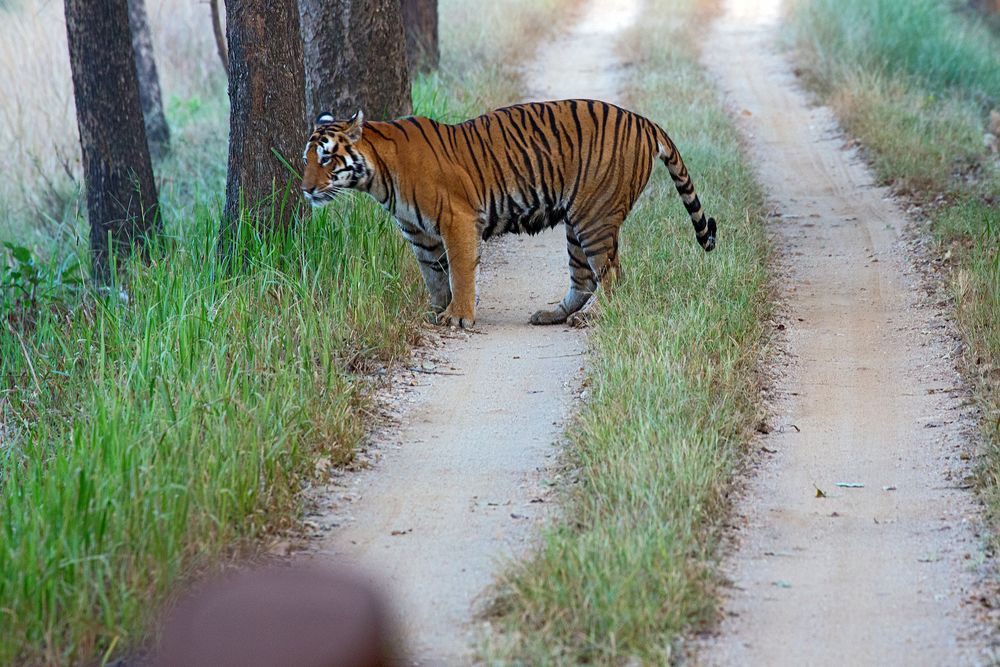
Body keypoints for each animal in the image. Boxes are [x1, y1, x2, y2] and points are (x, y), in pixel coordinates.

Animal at [300, 99, 716, 328]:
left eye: (326, 158)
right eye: (306, 160)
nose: (305, 189)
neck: (378, 178)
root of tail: (644, 120)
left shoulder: (457, 221)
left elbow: (461, 272)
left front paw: (458, 316)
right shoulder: (420, 236)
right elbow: (434, 277)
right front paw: (435, 312)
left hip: (595, 218)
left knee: (611, 276)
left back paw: (595, 318)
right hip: (578, 221)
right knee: (583, 279)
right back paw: (553, 315)